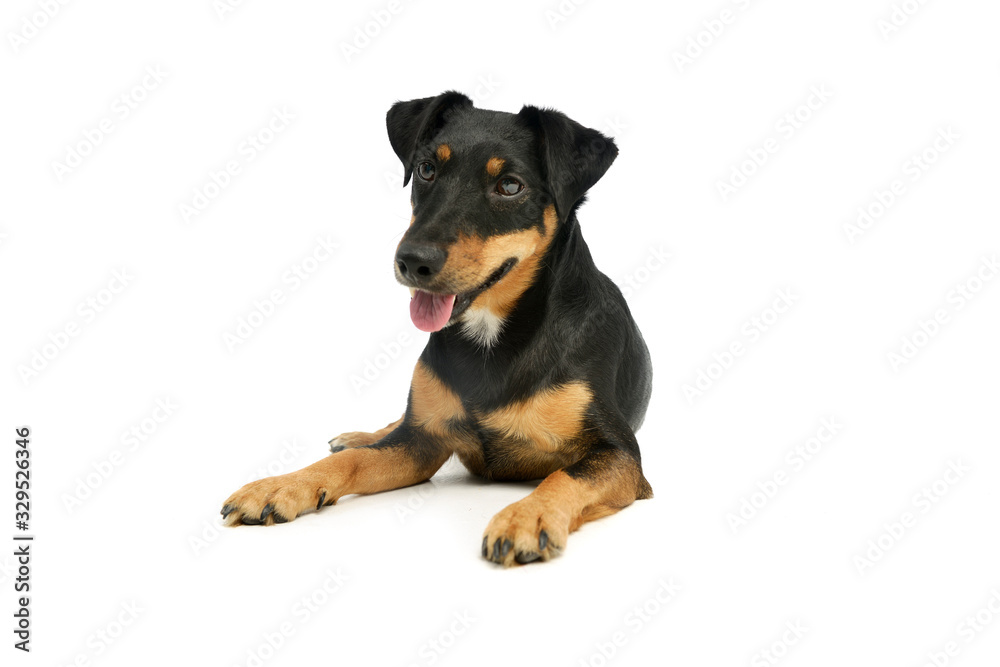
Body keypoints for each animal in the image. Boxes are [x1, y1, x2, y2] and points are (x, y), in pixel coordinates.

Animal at [222, 91, 652, 568]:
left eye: (510, 186)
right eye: (426, 169)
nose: (412, 261)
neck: (493, 337)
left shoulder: (620, 455)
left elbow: (564, 475)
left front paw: (527, 517)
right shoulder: (420, 444)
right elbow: (351, 463)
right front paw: (280, 486)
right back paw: (358, 436)